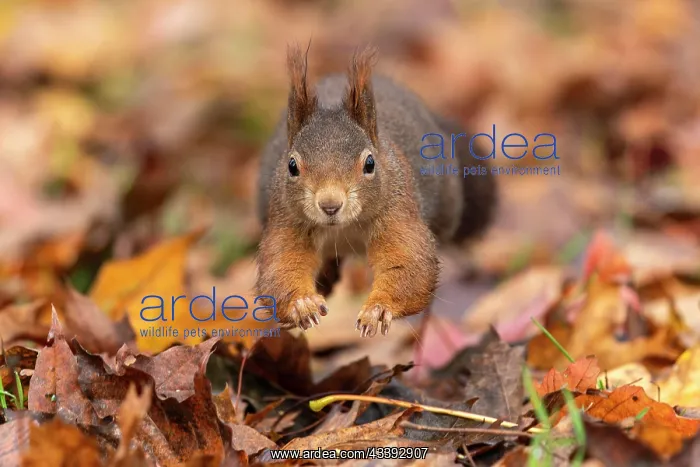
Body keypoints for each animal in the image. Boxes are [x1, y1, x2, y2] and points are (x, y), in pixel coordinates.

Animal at [255, 45, 497, 338]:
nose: (330, 205)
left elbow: (409, 263)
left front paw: (378, 310)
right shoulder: (286, 218)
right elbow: (281, 265)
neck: (343, 229)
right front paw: (301, 305)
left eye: (370, 163)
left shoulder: (398, 209)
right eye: (292, 166)